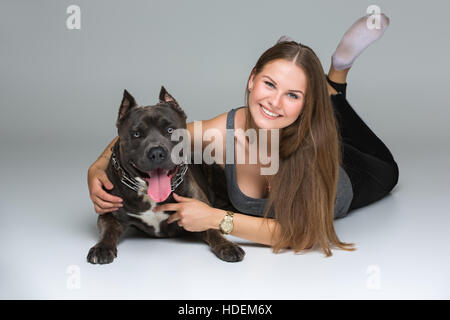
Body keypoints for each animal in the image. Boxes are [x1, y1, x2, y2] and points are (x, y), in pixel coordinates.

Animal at [86, 87, 244, 262]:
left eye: (170, 130)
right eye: (136, 134)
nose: (156, 153)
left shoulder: (201, 213)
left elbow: (213, 231)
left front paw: (227, 246)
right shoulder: (109, 214)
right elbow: (108, 231)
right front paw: (102, 248)